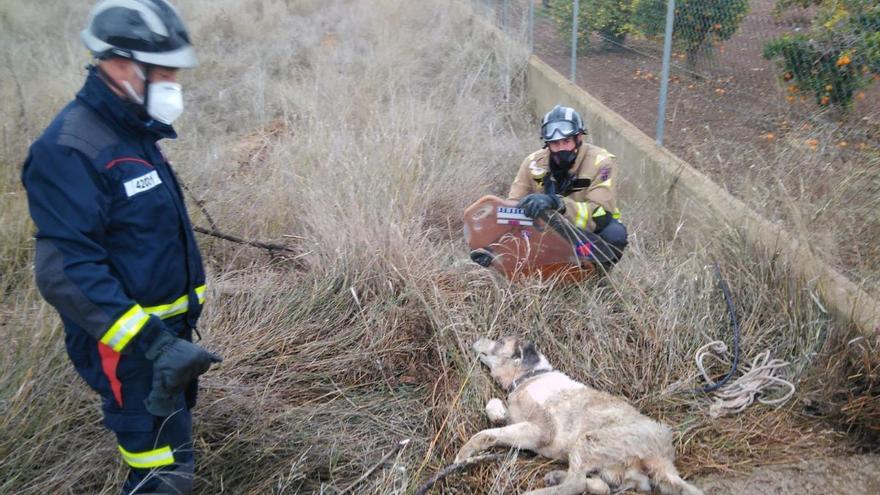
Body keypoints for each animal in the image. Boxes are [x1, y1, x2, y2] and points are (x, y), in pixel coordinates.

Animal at [458, 338, 704, 495]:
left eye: (500, 342)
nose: (476, 339)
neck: (531, 376)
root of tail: (662, 456)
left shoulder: (540, 430)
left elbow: (486, 433)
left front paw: (464, 453)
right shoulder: (517, 419)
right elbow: (494, 408)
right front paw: (496, 413)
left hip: (588, 441)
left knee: (575, 485)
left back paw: (538, 491)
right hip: (615, 470)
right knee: (601, 487)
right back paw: (558, 476)